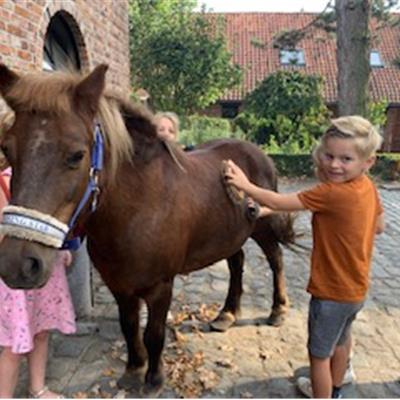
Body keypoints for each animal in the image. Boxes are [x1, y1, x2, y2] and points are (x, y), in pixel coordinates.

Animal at [0, 64, 294, 396]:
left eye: (76, 154)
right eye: (6, 148)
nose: (19, 264)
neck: (138, 207)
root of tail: (258, 153)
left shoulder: (160, 287)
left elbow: (154, 333)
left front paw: (154, 379)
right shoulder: (120, 285)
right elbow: (130, 328)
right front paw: (133, 371)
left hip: (263, 227)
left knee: (275, 259)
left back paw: (278, 310)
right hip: (229, 233)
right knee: (237, 263)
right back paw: (227, 314)